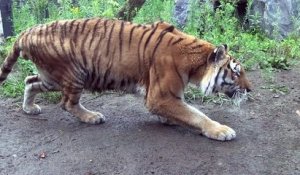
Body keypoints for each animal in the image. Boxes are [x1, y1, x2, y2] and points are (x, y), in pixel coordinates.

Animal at [0, 17, 251, 141]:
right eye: (236, 72)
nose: (250, 90)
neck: (195, 61)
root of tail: (26, 32)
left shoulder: (165, 97)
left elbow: (184, 112)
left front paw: (169, 119)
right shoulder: (161, 96)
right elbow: (196, 114)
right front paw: (221, 131)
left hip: (51, 76)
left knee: (30, 81)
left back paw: (29, 108)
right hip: (74, 73)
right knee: (67, 103)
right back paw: (92, 117)